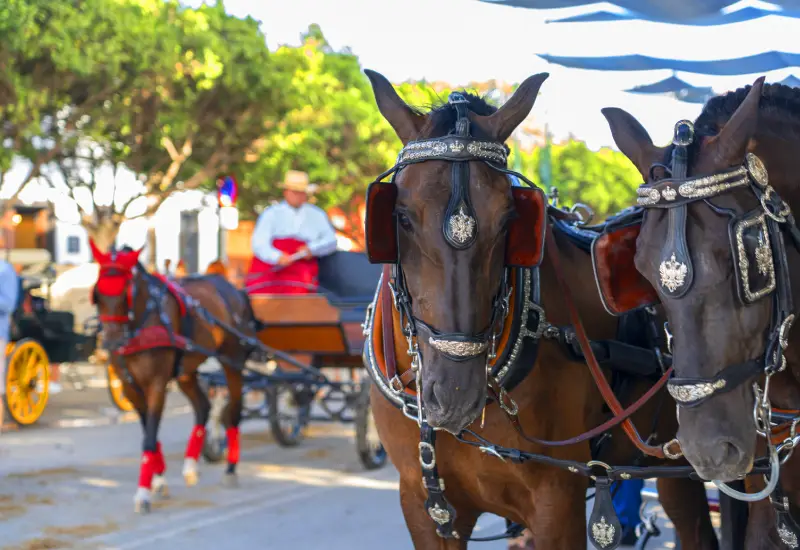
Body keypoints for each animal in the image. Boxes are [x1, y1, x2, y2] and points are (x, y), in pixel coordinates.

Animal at [89, 244, 255, 516]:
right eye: (97, 294)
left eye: (126, 294)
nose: (112, 343)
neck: (143, 320)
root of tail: (232, 287)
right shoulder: (130, 387)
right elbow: (150, 432)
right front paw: (158, 480)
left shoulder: (156, 384)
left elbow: (149, 436)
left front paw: (143, 493)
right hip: (186, 370)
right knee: (203, 407)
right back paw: (190, 465)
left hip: (232, 361)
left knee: (234, 411)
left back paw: (231, 469)